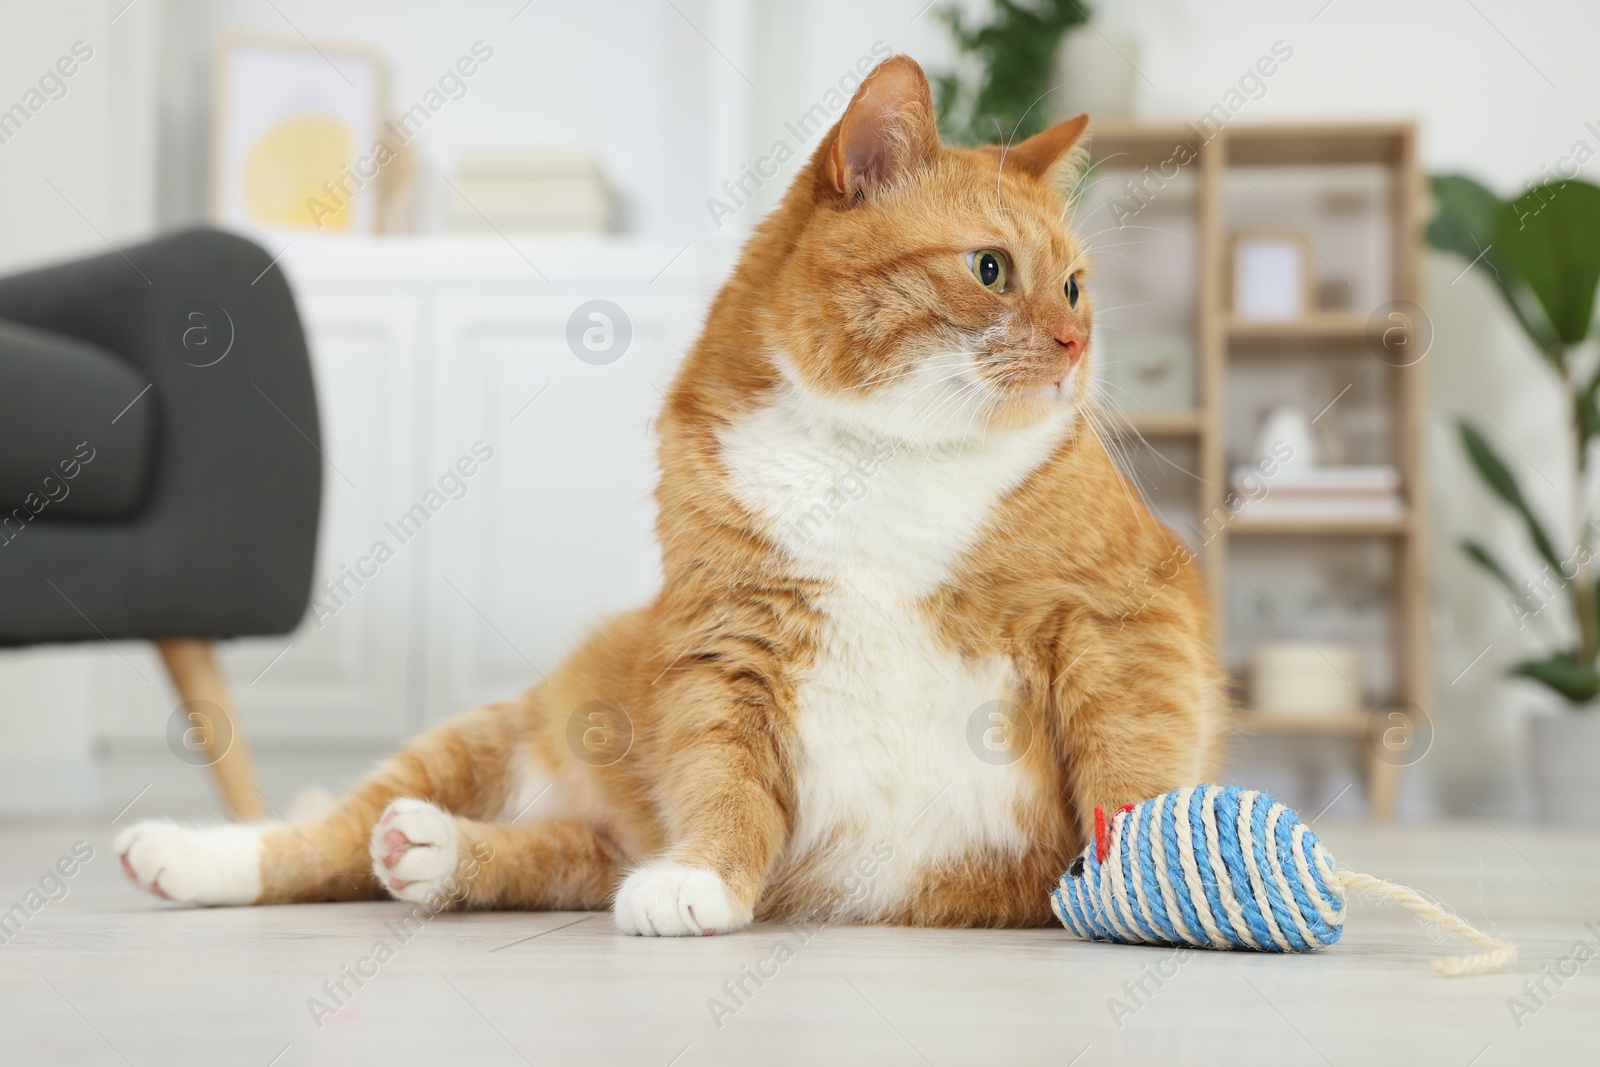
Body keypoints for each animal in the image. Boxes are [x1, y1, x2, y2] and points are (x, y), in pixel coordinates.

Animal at [118, 56, 1228, 934]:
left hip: (572, 829)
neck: (885, 457)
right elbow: (722, 774)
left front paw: (1147, 872)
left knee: (533, 852)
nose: (1077, 345)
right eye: (991, 269)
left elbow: (1135, 752)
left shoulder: (1121, 610)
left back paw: (434, 855)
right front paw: (703, 875)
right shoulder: (723, 637)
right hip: (493, 731)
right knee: (327, 832)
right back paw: (194, 855)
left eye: (1076, 287)